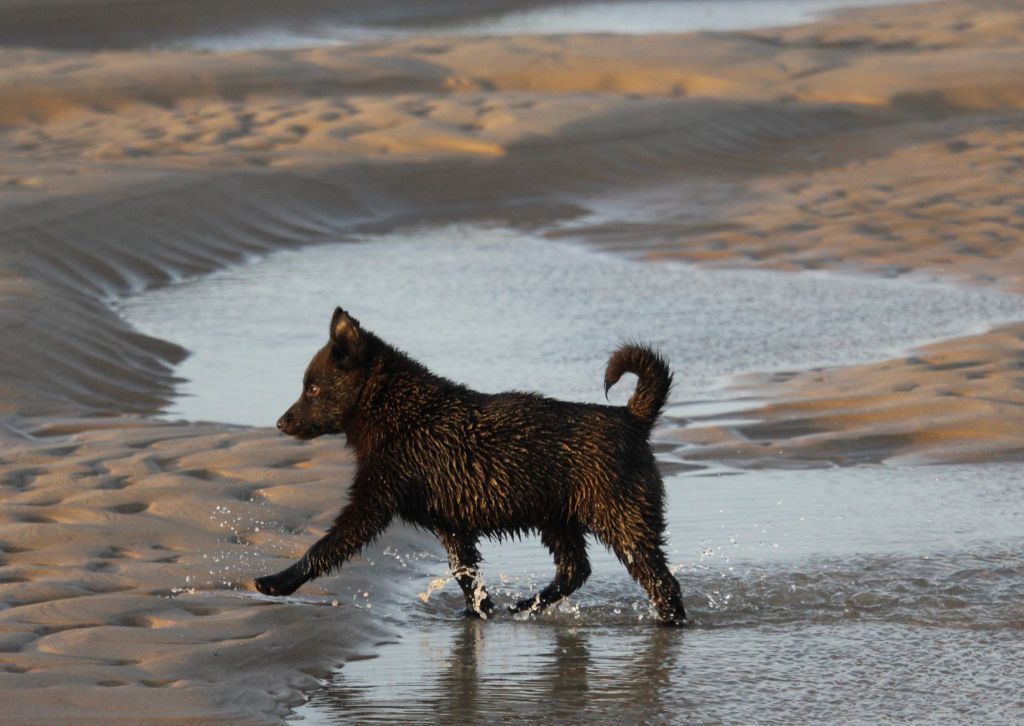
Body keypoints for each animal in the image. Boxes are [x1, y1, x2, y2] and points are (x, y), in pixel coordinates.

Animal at [254, 305, 688, 622]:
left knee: (661, 582)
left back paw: (670, 621)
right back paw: (526, 605)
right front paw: (479, 611)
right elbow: (466, 573)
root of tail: (632, 418)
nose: (280, 423)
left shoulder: (374, 502)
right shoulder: (452, 525)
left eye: (313, 388)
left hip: (621, 516)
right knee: (575, 570)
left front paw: (277, 582)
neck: (401, 414)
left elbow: (326, 546)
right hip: (557, 517)